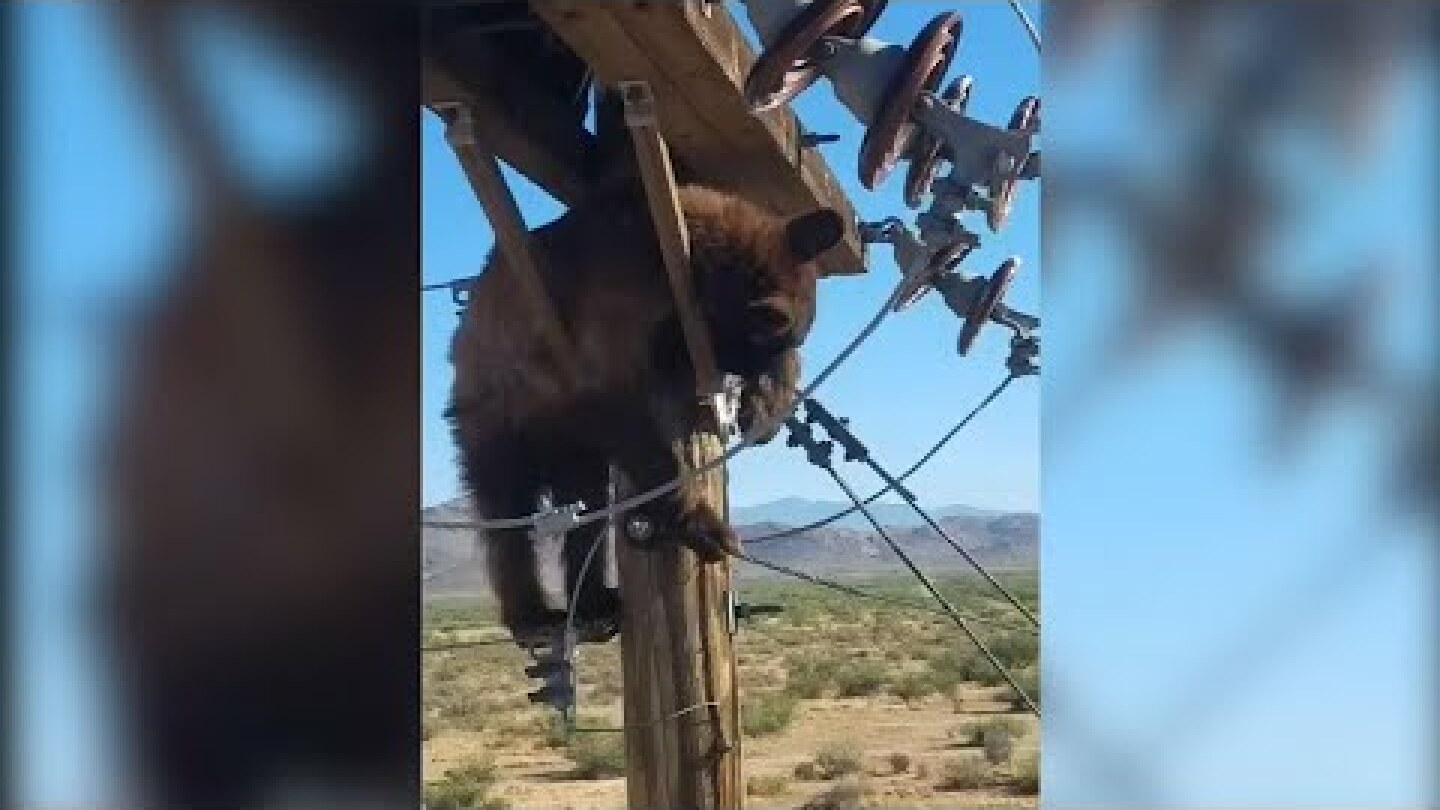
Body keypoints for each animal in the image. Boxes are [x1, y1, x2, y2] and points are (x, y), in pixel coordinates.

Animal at [447, 182, 843, 642]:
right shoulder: (615, 309)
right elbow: (630, 416)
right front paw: (700, 522)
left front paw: (765, 409)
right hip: (499, 421)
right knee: (508, 519)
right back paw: (531, 615)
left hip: (573, 453)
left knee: (585, 512)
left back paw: (593, 602)